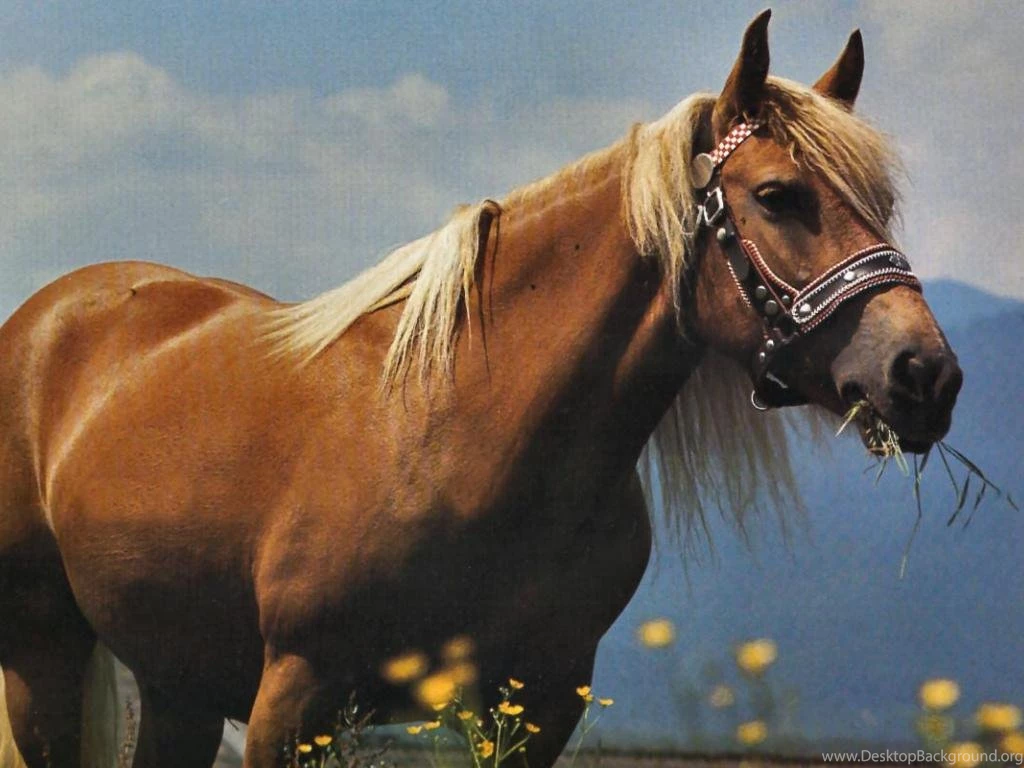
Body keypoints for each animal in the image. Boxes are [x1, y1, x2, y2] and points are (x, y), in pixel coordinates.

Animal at [0, 10, 962, 767]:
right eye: (776, 194)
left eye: (880, 204)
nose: (925, 373)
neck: (468, 436)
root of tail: (47, 318)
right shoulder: (294, 697)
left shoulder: (539, 702)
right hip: (45, 652)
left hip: (176, 680)